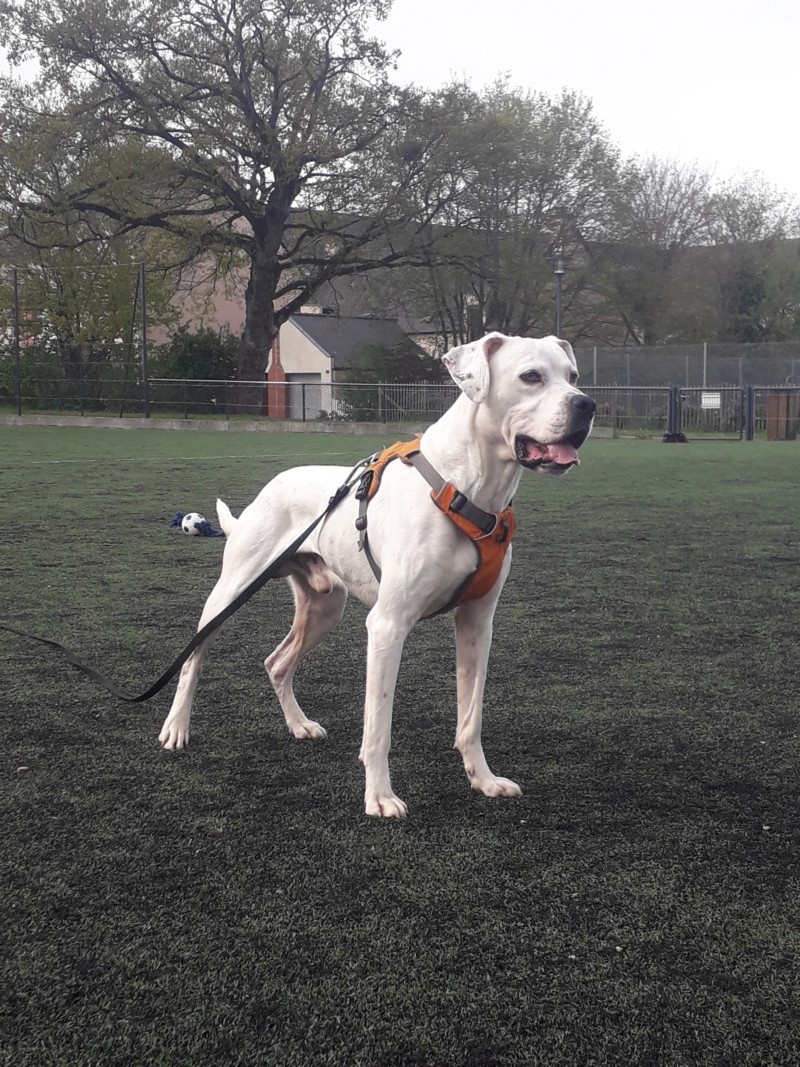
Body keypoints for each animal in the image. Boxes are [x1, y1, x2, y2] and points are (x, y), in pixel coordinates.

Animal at [157, 332, 597, 815]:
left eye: (573, 375)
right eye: (531, 376)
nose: (586, 404)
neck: (466, 489)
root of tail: (272, 484)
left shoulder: (477, 624)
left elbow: (471, 717)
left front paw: (483, 780)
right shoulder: (388, 626)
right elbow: (379, 728)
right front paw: (380, 797)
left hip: (325, 606)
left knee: (276, 663)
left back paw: (299, 725)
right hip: (230, 593)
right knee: (192, 659)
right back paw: (176, 728)